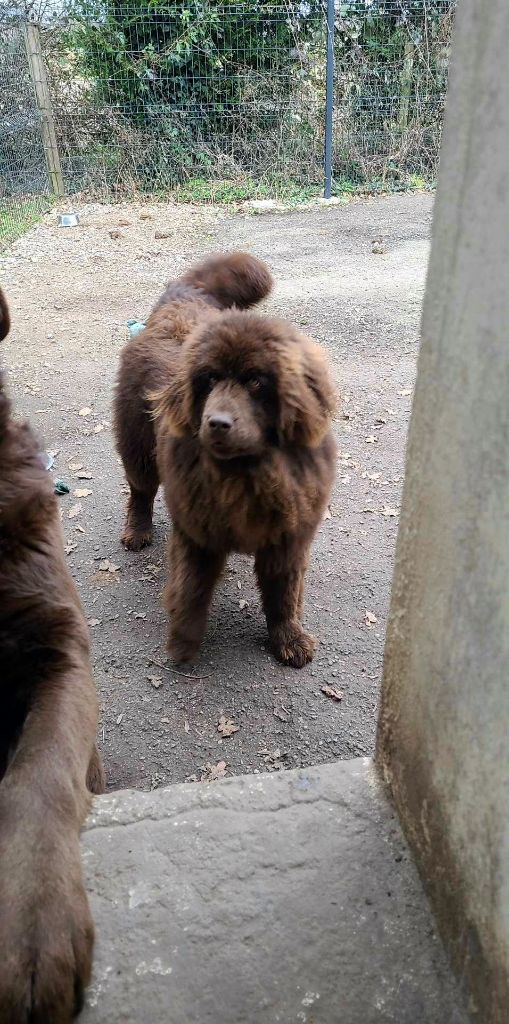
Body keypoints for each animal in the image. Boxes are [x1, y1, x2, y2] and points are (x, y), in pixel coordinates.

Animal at [115, 252, 337, 667]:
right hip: (136, 442)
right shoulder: (196, 533)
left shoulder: (288, 537)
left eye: (256, 382)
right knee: (140, 490)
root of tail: (181, 296)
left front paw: (290, 640)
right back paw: (137, 532)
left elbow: (284, 594)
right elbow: (191, 588)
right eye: (209, 379)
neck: (246, 475)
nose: (217, 423)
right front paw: (183, 642)